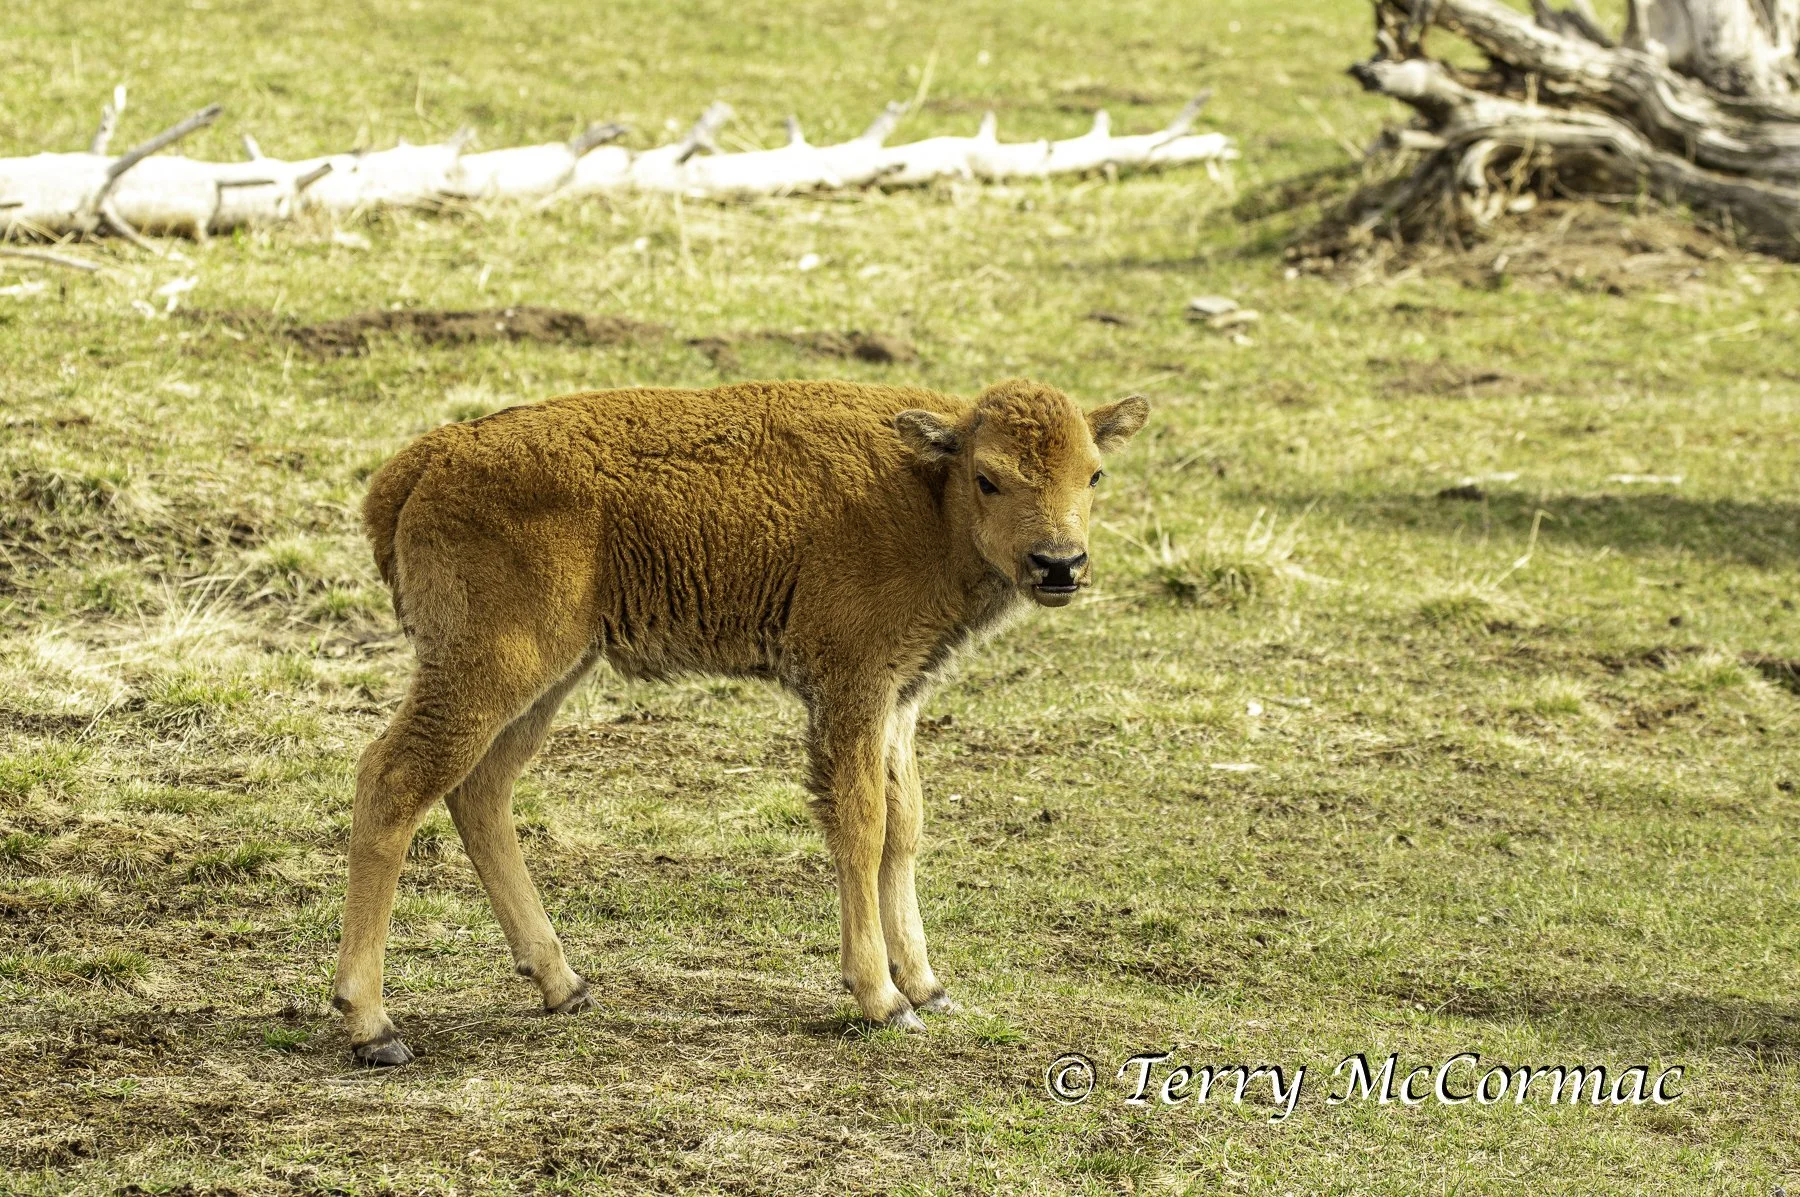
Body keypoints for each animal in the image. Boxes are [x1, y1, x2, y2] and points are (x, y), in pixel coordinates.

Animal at [333, 377, 1149, 1064]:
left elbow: (906, 826)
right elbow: (862, 827)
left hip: (549, 678)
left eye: (1094, 473)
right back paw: (374, 1026)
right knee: (393, 780)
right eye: (988, 476)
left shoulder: (899, 697)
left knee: (480, 791)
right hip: (490, 669)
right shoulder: (850, 687)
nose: (1059, 564)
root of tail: (422, 462)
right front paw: (883, 998)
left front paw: (928, 986)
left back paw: (565, 984)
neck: (925, 489)